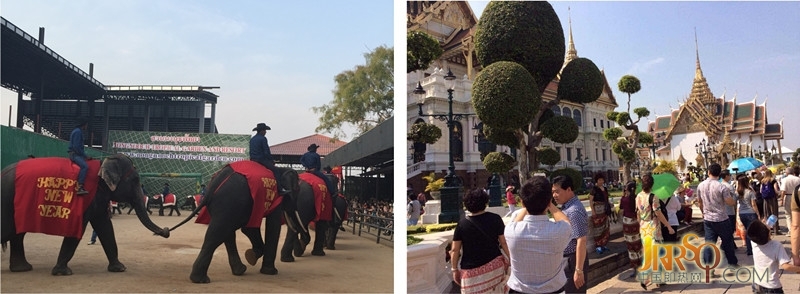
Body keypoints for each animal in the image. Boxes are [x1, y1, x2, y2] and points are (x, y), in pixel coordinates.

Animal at [0, 154, 170, 276]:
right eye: (135, 180)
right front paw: (62, 272)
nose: (166, 231)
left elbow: (105, 227)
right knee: (9, 231)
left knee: (17, 235)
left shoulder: (99, 198)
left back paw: (22, 269)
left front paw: (119, 268)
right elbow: (80, 227)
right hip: (7, 200)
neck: (103, 162)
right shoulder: (86, 198)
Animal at [167, 162, 308, 284]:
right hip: (233, 199)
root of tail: (217, 179)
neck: (280, 169)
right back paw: (201, 279)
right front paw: (270, 271)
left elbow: (249, 229)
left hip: (230, 204)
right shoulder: (276, 196)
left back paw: (238, 271)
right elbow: (271, 226)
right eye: (297, 189)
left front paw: (252, 256)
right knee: (218, 233)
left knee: (224, 231)